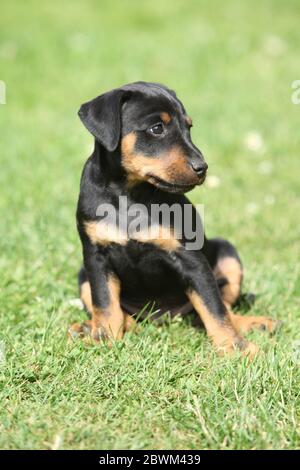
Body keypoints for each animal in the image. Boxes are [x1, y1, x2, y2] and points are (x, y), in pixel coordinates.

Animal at [69, 81, 278, 356]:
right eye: (157, 128)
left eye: (188, 127)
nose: (202, 167)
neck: (129, 194)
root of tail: (163, 318)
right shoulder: (96, 256)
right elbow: (105, 304)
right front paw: (103, 338)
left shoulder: (190, 259)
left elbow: (214, 307)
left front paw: (235, 347)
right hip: (83, 275)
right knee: (121, 313)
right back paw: (91, 327)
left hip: (227, 252)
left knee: (220, 307)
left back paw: (256, 323)